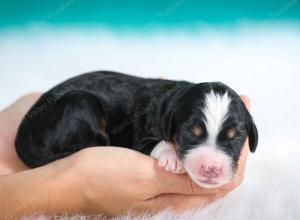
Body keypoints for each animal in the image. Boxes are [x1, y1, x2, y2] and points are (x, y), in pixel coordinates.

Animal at [14, 71, 258, 188]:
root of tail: (23, 133)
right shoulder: (139, 135)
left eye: (235, 137)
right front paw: (172, 157)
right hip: (80, 102)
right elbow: (155, 142)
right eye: (191, 133)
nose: (211, 169)